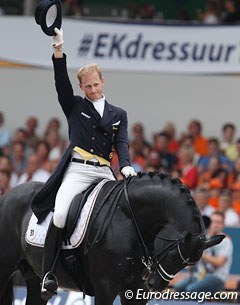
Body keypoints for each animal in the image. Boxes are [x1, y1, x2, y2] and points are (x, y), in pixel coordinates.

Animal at [0, 172, 224, 302]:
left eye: (186, 265)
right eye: (172, 254)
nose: (155, 286)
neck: (129, 217)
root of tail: (7, 195)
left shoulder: (135, 291)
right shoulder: (105, 288)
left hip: (34, 277)